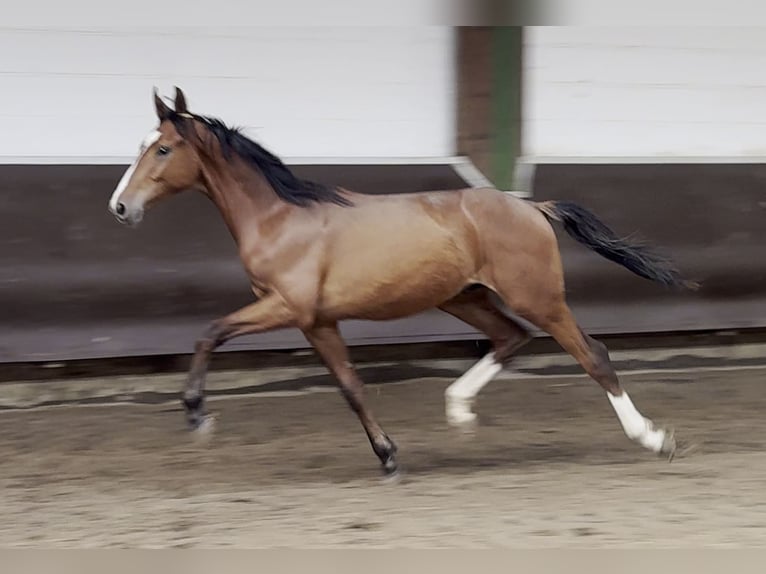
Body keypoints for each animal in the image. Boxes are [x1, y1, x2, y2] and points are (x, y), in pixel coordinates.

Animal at [109, 88, 704, 480]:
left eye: (162, 149)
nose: (120, 207)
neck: (280, 218)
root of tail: (532, 206)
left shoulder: (287, 307)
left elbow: (209, 331)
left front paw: (196, 414)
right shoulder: (317, 320)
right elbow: (350, 387)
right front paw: (388, 455)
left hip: (539, 297)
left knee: (592, 355)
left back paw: (655, 440)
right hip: (465, 297)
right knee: (511, 337)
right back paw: (458, 409)